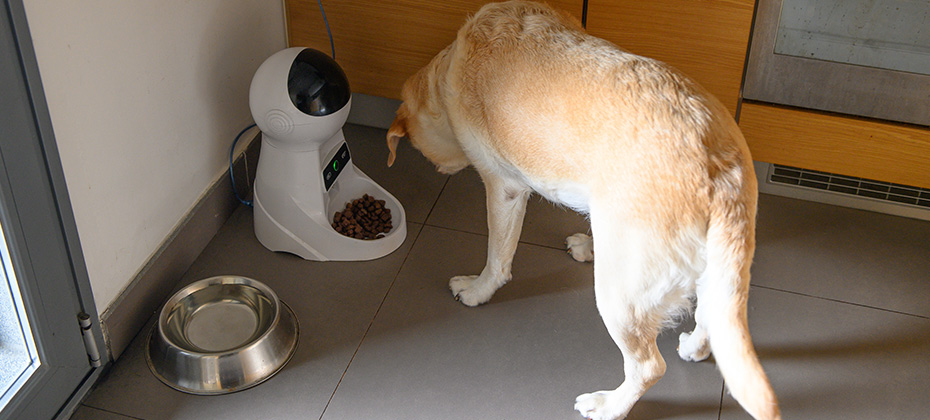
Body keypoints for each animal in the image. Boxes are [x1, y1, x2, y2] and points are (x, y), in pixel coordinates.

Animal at [384, 1, 776, 418]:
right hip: (714, 272)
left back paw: (609, 405)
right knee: (709, 317)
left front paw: (478, 290)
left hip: (619, 299)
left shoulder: (504, 188)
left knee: (649, 366)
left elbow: (497, 258)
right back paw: (695, 347)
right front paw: (588, 246)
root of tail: (718, 168)